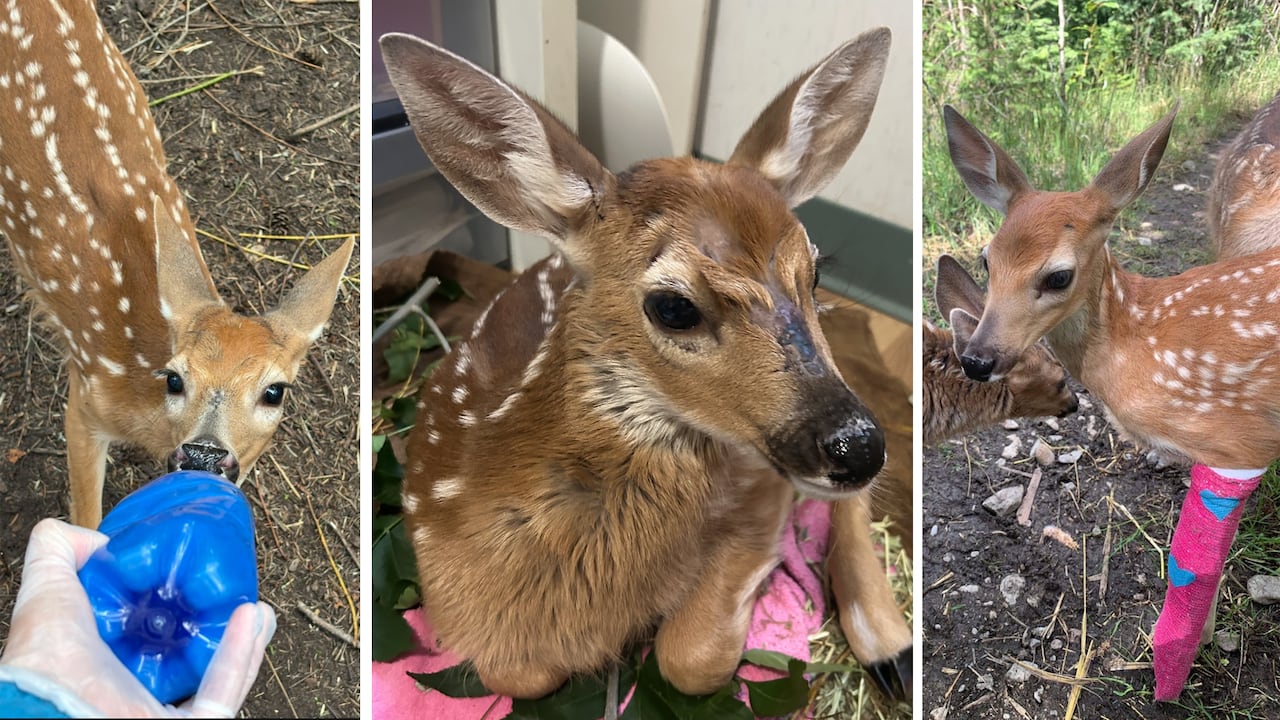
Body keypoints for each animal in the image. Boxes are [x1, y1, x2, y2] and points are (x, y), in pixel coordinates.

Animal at [379, 29, 916, 702]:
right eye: (673, 306)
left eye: (816, 273)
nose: (856, 446)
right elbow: (520, 674)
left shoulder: (760, 485)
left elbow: (688, 660)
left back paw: (891, 648)